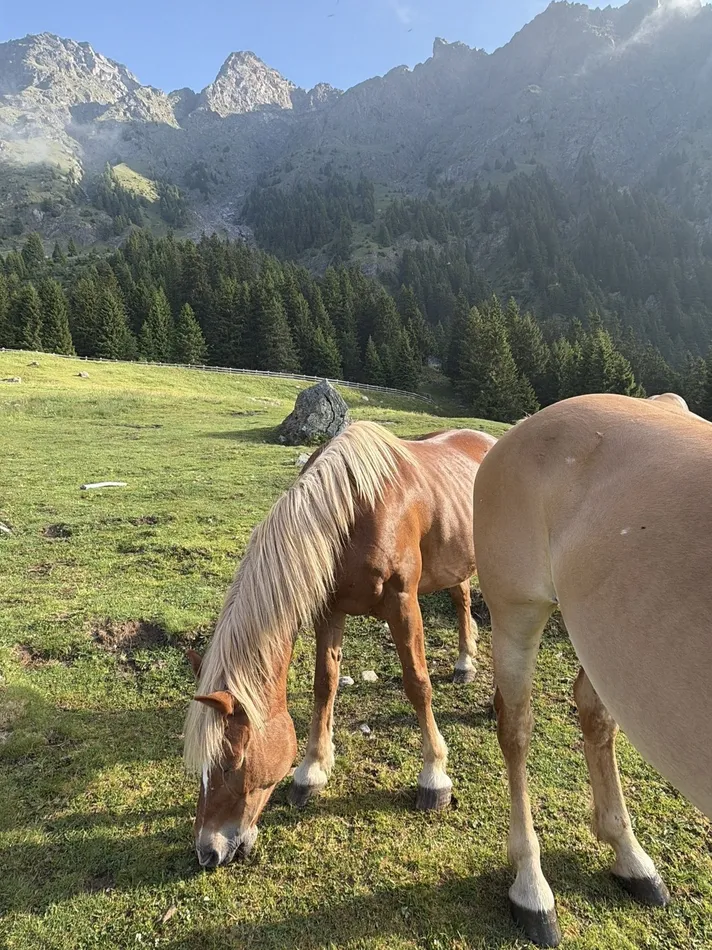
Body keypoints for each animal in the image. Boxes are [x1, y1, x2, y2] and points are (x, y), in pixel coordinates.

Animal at [184, 420, 496, 869]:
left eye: (232, 761)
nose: (208, 851)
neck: (355, 512)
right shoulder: (329, 610)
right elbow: (324, 684)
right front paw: (311, 771)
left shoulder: (403, 603)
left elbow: (417, 685)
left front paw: (434, 776)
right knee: (462, 597)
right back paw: (465, 663)